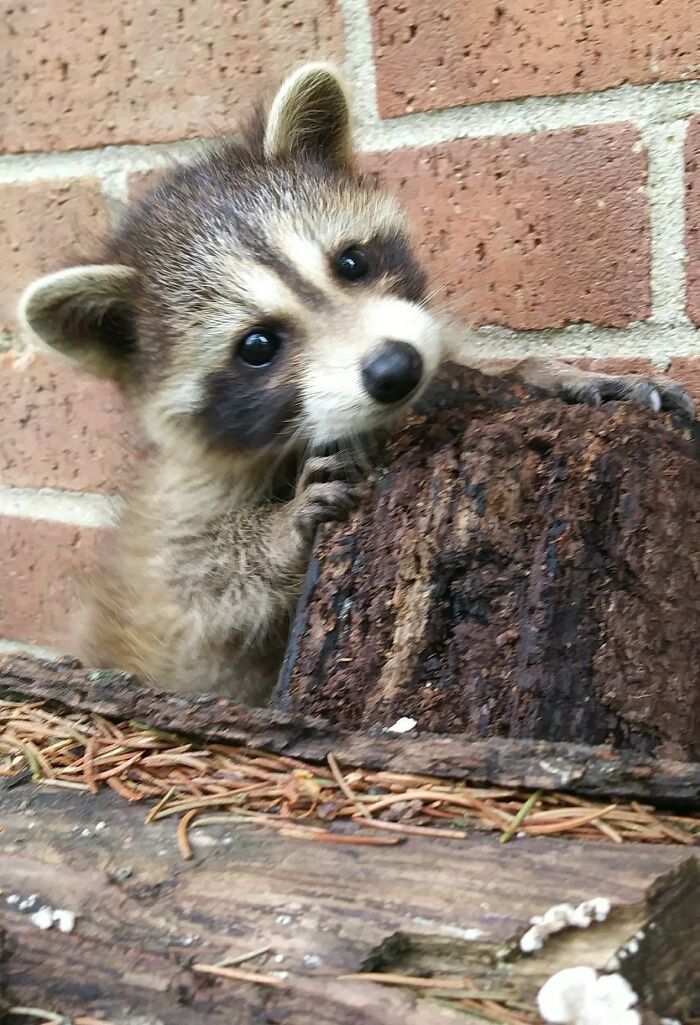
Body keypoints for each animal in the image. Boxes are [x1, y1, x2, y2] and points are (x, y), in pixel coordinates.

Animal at [19, 63, 694, 704]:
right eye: (257, 347)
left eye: (351, 262)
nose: (396, 369)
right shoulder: (174, 501)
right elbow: (191, 584)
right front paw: (278, 533)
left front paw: (549, 372)